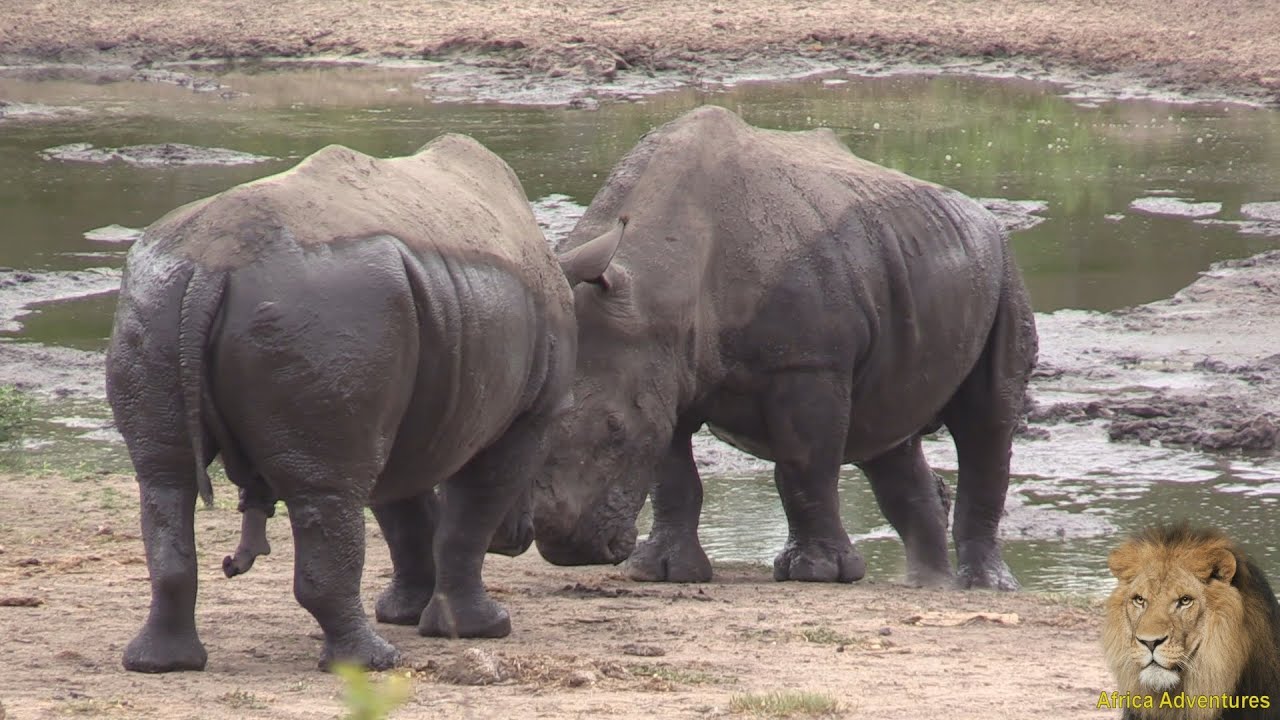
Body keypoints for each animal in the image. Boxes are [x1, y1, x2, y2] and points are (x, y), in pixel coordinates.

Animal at [105, 136, 625, 672]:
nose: (518, 539)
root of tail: (213, 266)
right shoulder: (530, 417)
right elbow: (468, 515)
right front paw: (481, 628)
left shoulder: (412, 401)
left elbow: (406, 514)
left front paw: (406, 614)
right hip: (328, 309)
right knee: (328, 488)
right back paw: (373, 662)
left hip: (159, 297)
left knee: (164, 477)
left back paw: (159, 664)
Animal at [531, 105, 1038, 590]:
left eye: (615, 430)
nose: (568, 549)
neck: (659, 280)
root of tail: (979, 214)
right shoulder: (665, 367)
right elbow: (672, 474)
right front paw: (661, 573)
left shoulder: (809, 363)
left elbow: (802, 465)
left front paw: (817, 573)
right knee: (887, 432)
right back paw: (928, 583)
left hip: (1002, 268)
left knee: (987, 419)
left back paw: (984, 587)